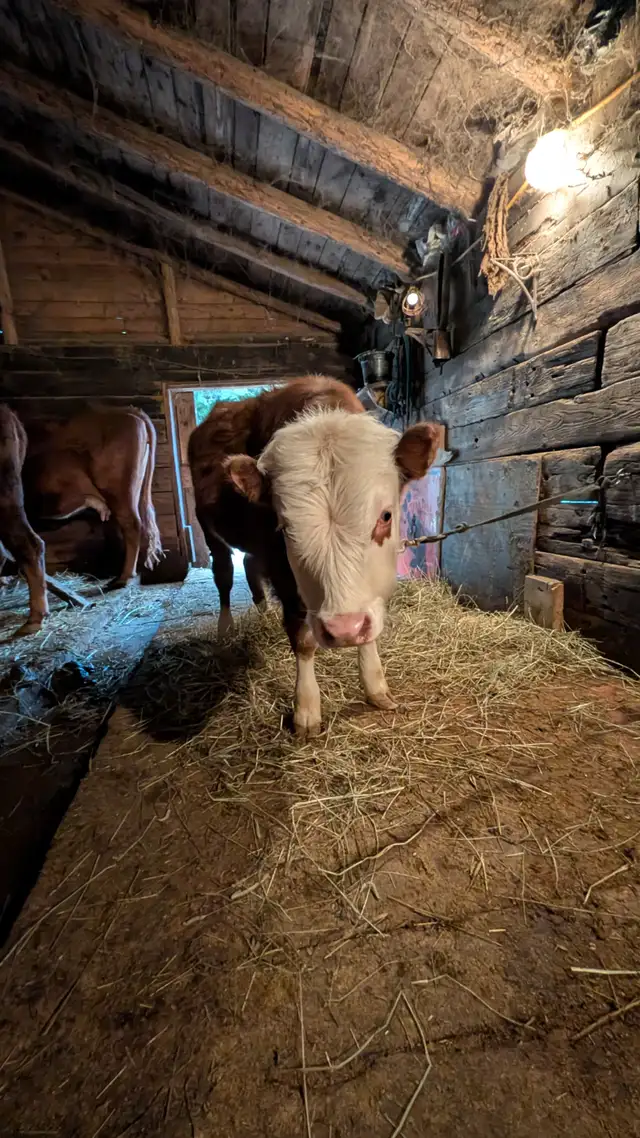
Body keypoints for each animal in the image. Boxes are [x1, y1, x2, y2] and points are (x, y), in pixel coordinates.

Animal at [189, 375, 439, 737]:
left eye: (386, 516)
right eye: (285, 527)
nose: (343, 630)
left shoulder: (365, 599)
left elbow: (370, 630)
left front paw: (375, 687)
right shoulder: (281, 570)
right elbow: (303, 639)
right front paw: (306, 709)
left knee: (249, 564)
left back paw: (263, 612)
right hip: (210, 532)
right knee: (223, 574)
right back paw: (225, 627)